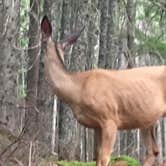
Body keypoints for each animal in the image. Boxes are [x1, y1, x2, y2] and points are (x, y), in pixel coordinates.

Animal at [40, 15, 166, 166]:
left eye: (42, 45)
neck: (78, 89)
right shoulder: (96, 125)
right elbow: (96, 156)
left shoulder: (110, 119)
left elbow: (105, 157)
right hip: (146, 119)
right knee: (153, 150)